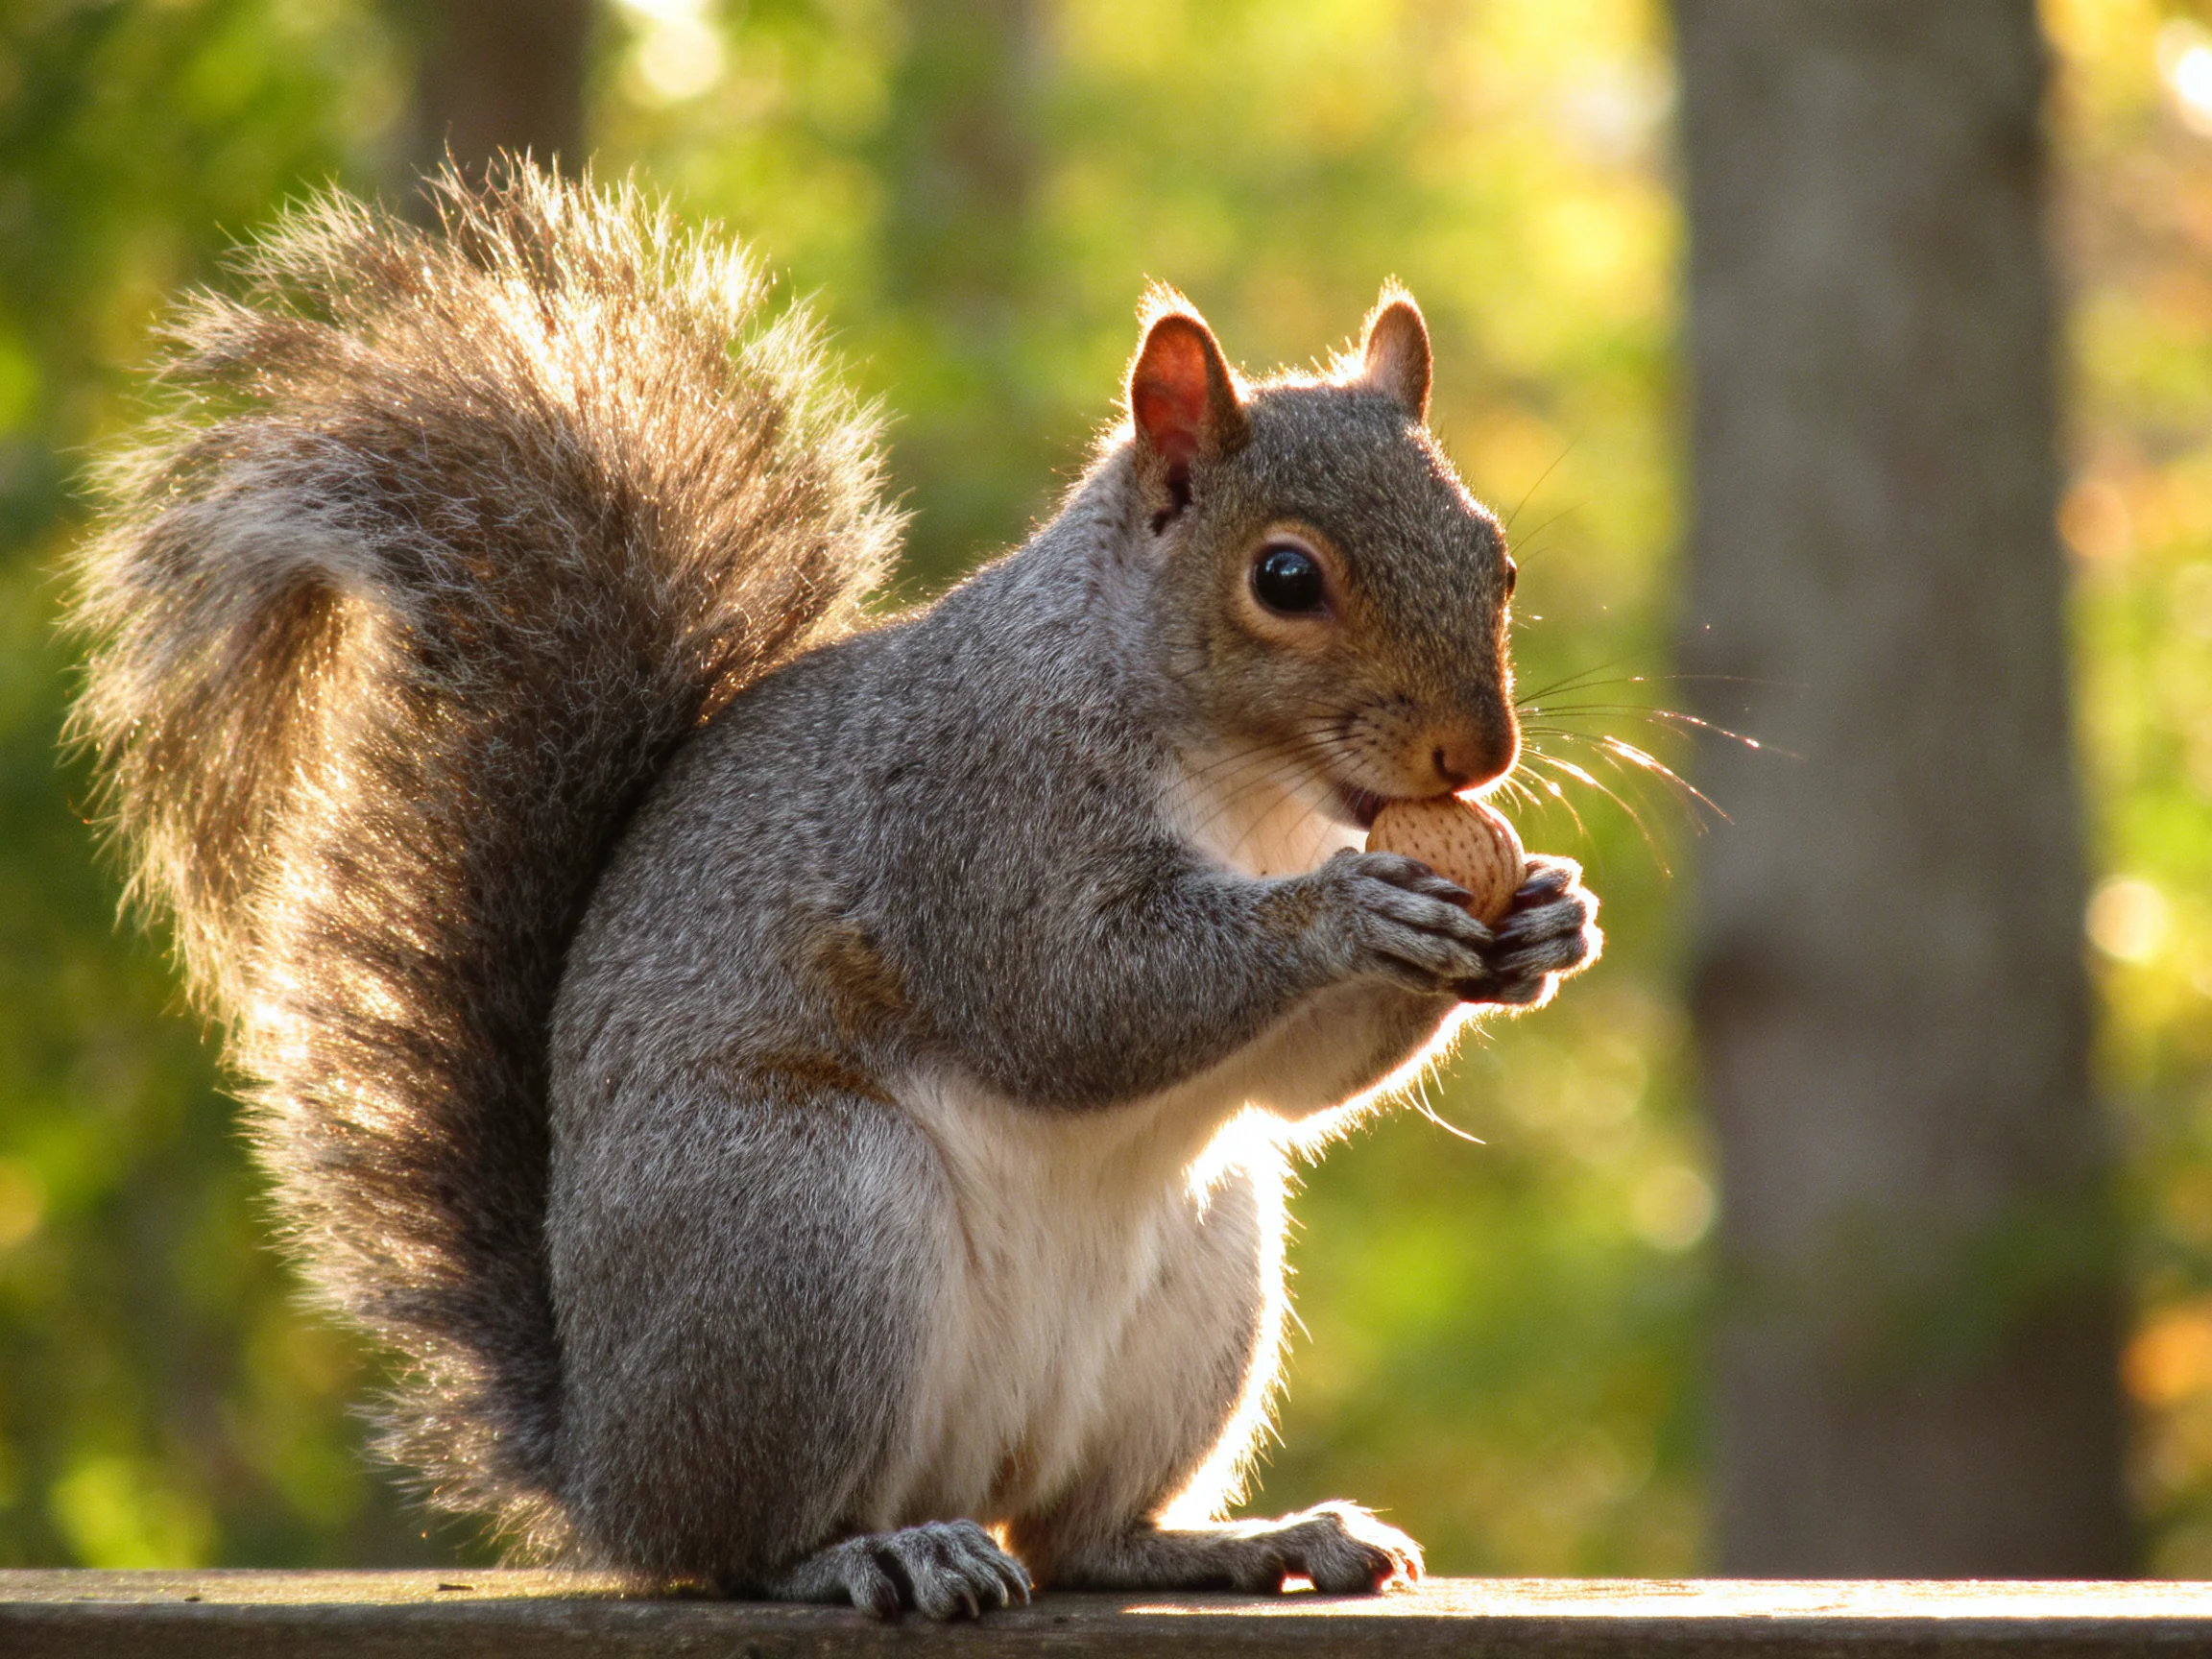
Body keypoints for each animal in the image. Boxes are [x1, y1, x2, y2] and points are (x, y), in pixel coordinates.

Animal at [68, 164, 1599, 1617]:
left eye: (1498, 555)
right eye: (1284, 577)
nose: (1482, 754)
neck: (1252, 792)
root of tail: (601, 1462)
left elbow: (1296, 1082)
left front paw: (1543, 919)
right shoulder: (974, 816)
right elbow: (1070, 1005)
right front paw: (1349, 916)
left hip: (1204, 1275)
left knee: (1080, 1536)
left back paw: (1242, 1542)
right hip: (806, 1228)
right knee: (742, 1545)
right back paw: (870, 1557)